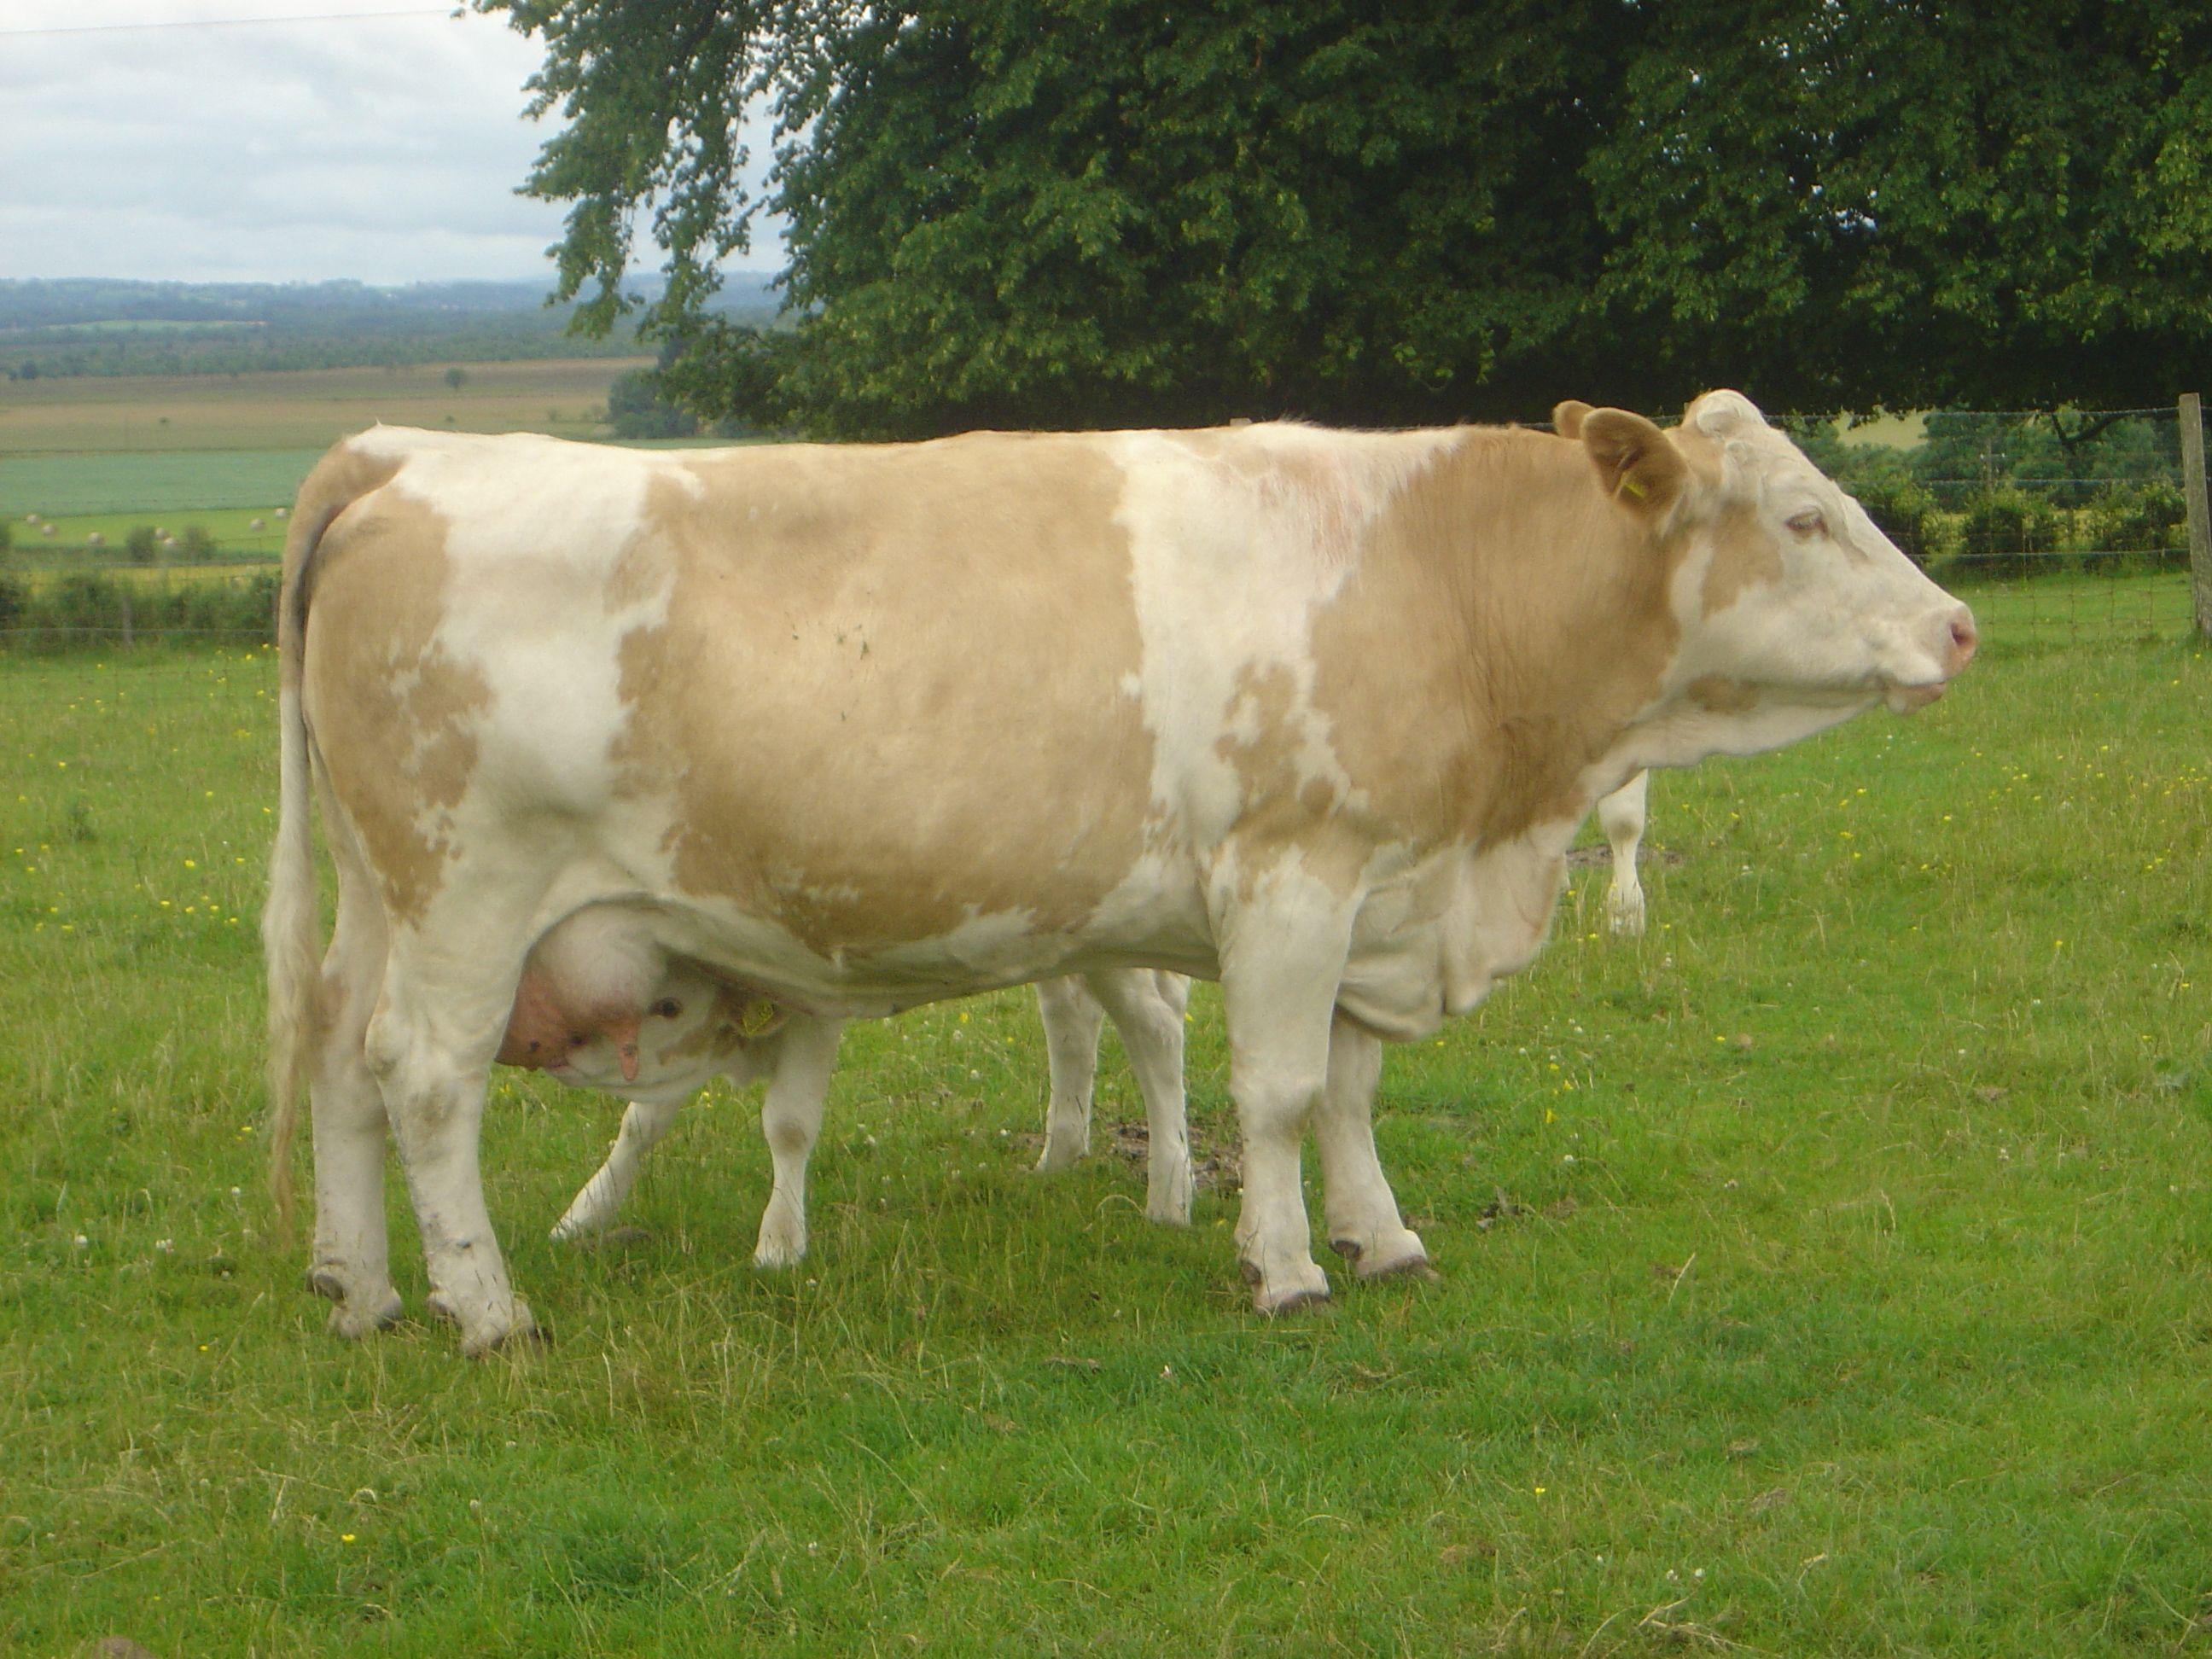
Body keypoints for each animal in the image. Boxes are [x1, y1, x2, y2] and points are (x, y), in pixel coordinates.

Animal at [264, 391, 1975, 1353]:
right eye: (1806, 517)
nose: (1958, 626)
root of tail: (401, 464)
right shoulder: (1294, 877)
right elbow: (1278, 1096)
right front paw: (1286, 1270)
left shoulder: (1376, 890)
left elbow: (1350, 1098)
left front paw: (1386, 1237)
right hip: (470, 892)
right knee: (425, 1083)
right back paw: (486, 1311)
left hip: (382, 898)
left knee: (341, 1061)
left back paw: (363, 1288)